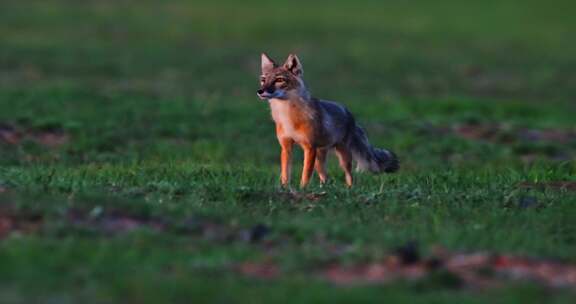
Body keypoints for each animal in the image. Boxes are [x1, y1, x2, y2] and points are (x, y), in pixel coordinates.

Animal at [258, 54, 398, 188]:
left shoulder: (309, 148)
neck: (288, 117)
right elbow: (285, 174)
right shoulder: (286, 147)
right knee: (325, 177)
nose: (260, 91)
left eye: (279, 80)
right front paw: (285, 188)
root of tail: (349, 113)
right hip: (319, 159)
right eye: (263, 80)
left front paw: (302, 189)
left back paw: (349, 189)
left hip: (342, 156)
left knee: (349, 176)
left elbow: (305, 174)